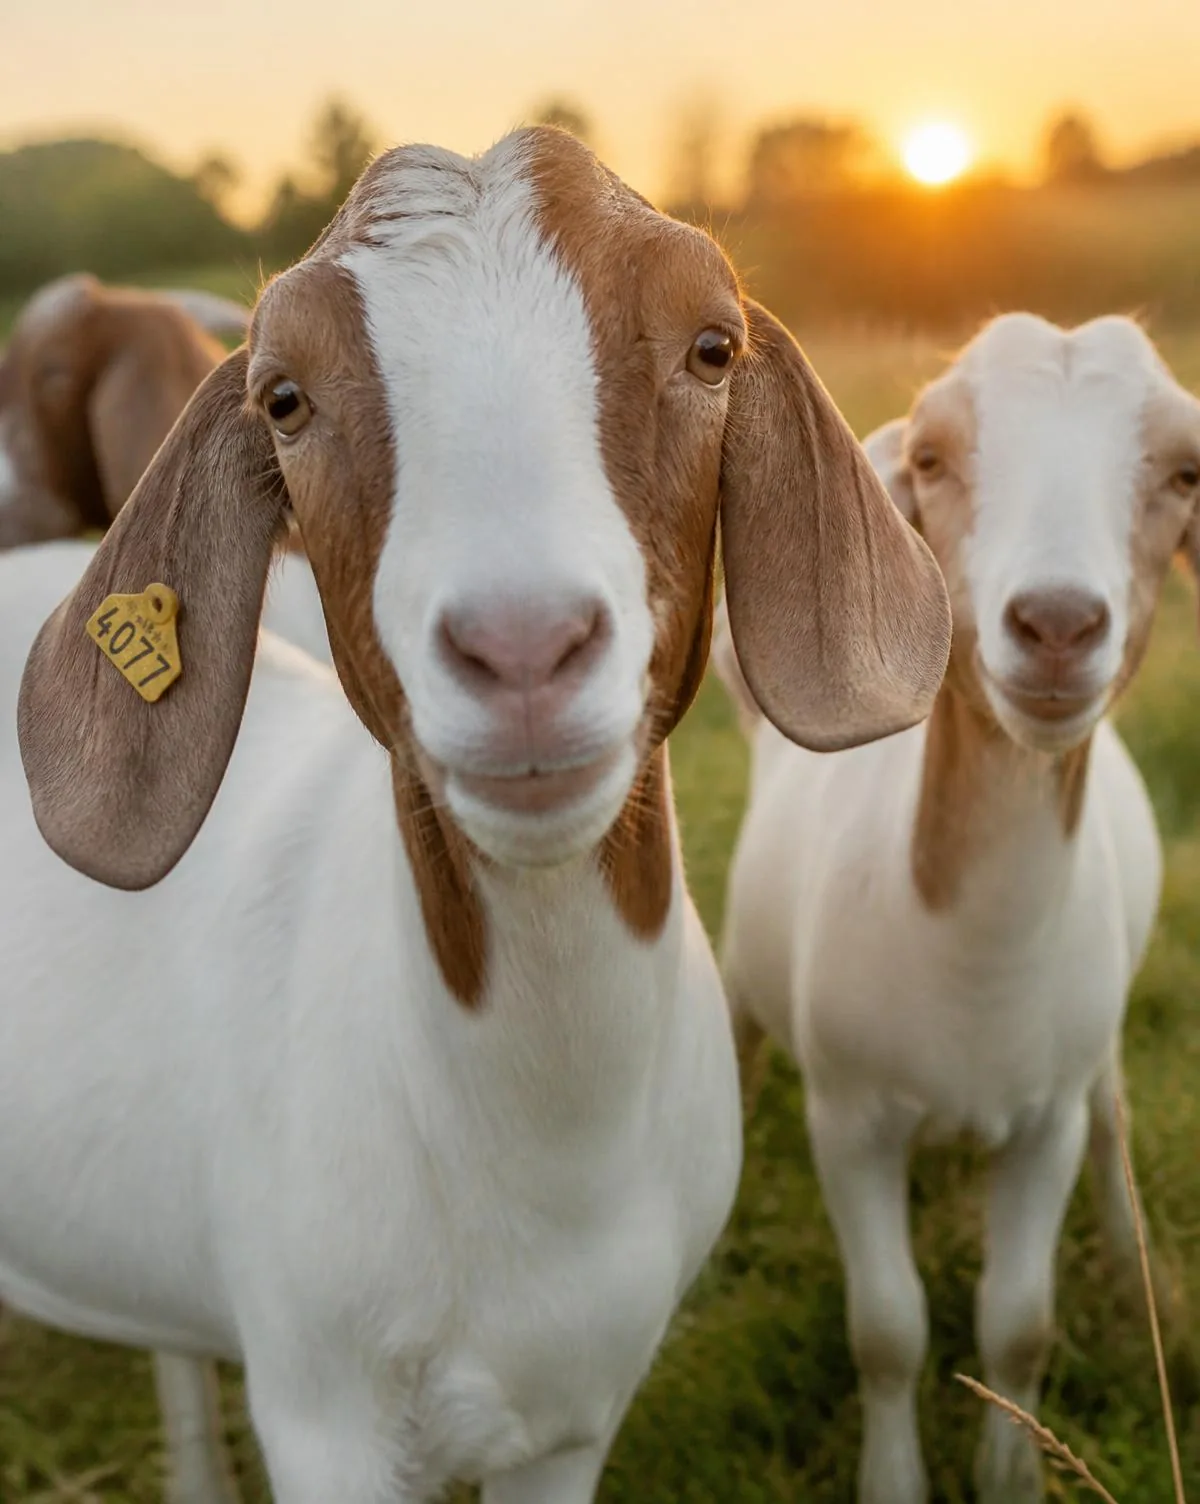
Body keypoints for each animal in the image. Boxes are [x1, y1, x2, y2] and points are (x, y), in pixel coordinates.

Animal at [3, 126, 950, 1504]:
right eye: (283, 398)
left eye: (712, 346)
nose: (523, 647)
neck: (540, 1148)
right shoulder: (325, 1415)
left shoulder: (570, 1421)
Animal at [716, 311, 1200, 1504]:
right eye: (929, 459)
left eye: (1184, 472)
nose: (1059, 624)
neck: (973, 957)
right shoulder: (848, 1120)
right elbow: (888, 1329)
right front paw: (895, 1478)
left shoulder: (1044, 1122)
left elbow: (1017, 1326)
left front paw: (1012, 1472)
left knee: (1114, 1117)